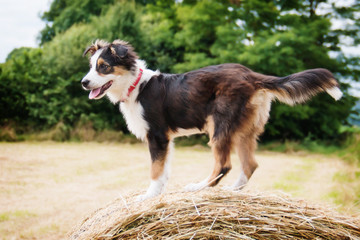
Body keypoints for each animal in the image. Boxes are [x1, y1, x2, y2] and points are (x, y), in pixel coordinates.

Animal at [81, 39, 344, 201]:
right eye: (91, 66)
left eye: (103, 67)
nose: (83, 82)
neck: (135, 85)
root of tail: (251, 75)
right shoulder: (166, 140)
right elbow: (164, 170)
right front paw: (158, 194)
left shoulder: (157, 136)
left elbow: (155, 170)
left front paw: (149, 196)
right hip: (244, 130)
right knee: (250, 165)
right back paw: (232, 191)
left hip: (220, 126)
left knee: (223, 165)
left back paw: (198, 187)